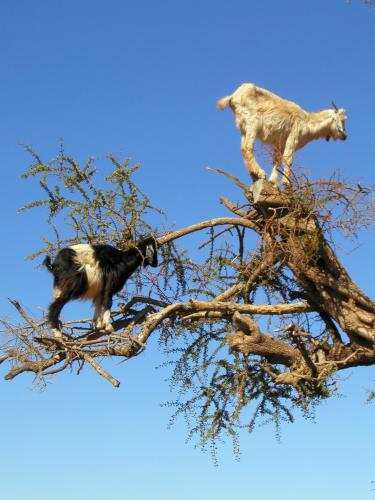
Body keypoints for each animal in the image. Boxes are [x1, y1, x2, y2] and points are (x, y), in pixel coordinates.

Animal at [219, 83, 348, 187]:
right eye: (341, 120)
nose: (345, 136)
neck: (307, 121)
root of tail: (233, 97)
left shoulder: (279, 144)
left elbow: (277, 160)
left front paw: (273, 183)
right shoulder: (293, 137)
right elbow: (288, 159)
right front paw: (286, 182)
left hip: (243, 128)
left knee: (242, 149)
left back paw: (253, 173)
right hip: (252, 123)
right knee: (247, 148)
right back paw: (260, 173)